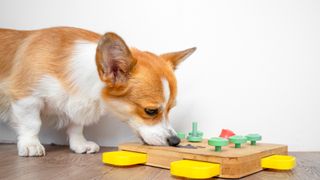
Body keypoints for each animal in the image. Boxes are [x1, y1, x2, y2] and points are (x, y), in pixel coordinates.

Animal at [0, 26, 195, 156]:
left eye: (170, 109)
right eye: (151, 111)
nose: (175, 141)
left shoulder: (77, 105)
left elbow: (76, 127)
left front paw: (80, 145)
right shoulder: (26, 97)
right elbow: (32, 123)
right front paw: (30, 145)